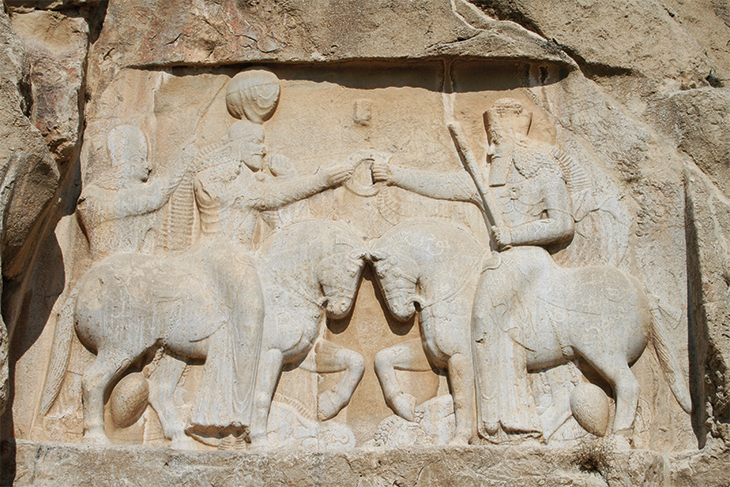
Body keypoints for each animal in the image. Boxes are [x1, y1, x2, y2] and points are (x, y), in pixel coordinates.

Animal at [39, 219, 364, 448]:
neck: (281, 285)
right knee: (93, 380)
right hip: (123, 345)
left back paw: (179, 439)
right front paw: (260, 441)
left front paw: (329, 404)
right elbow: (260, 396)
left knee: (159, 390)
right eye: (351, 270)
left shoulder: (300, 355)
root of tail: (86, 280)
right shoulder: (270, 352)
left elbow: (355, 361)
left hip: (173, 351)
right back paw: (96, 438)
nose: (341, 310)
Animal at [366, 221, 692, 446]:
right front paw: (405, 406)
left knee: (628, 386)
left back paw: (618, 439)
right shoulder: (437, 355)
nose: (401, 314)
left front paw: (459, 440)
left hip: (602, 352)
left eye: (384, 272)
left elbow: (462, 399)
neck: (458, 283)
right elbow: (383, 357)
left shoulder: (461, 357)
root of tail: (642, 290)